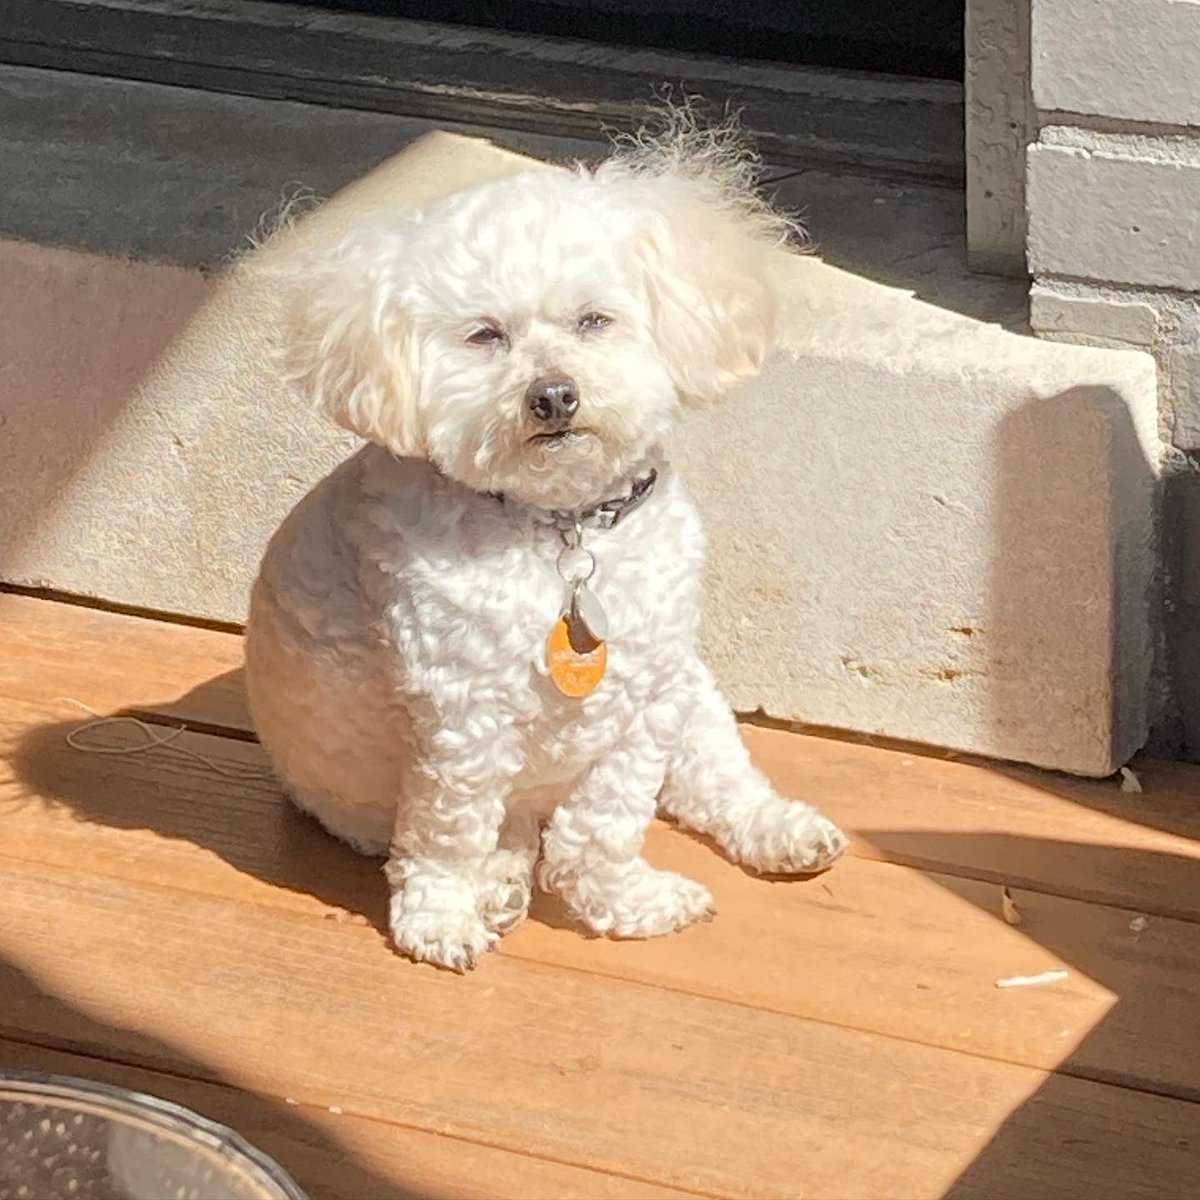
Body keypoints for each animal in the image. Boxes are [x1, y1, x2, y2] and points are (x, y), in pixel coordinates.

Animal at [246, 119, 844, 974]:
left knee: (718, 781)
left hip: (695, 694)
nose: (553, 396)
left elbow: (606, 826)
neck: (563, 527)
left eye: (594, 320)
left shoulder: (645, 704)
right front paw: (440, 918)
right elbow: (446, 835)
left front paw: (629, 901)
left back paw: (779, 829)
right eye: (484, 336)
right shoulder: (463, 717)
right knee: (497, 833)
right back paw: (497, 883)